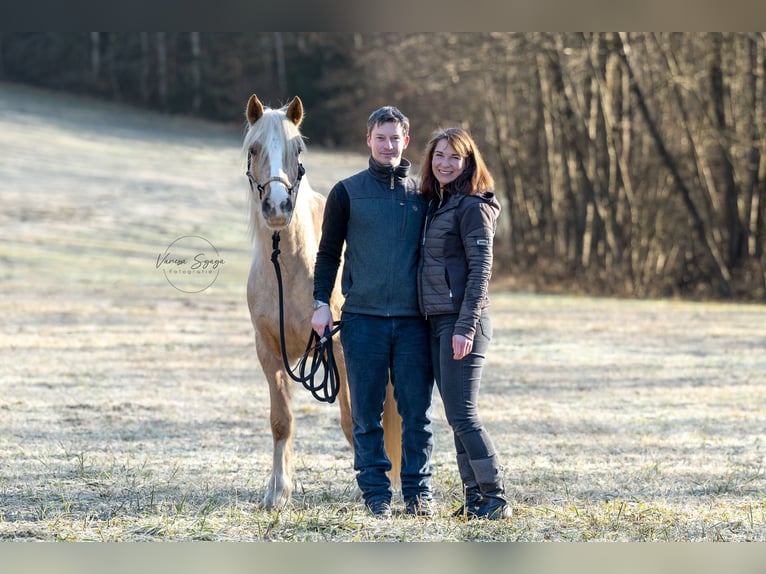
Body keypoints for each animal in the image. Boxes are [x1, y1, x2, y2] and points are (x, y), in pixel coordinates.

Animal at [244, 95, 402, 512]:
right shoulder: (270, 353)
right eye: (254, 149)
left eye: (297, 150)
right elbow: (281, 421)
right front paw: (277, 492)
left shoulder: (342, 352)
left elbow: (352, 422)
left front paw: (370, 491)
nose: (278, 207)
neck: (291, 267)